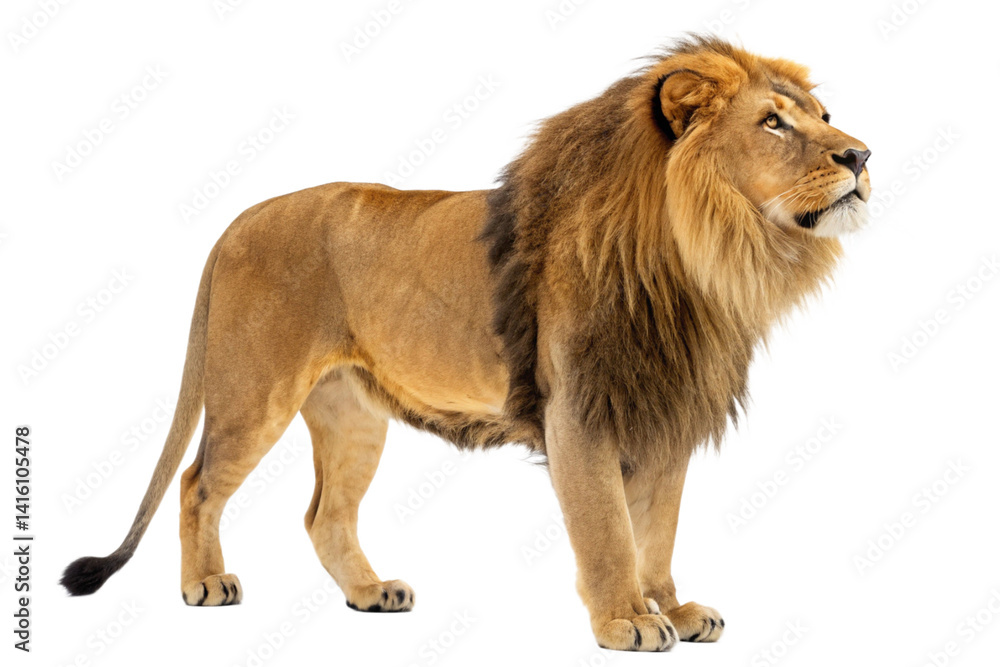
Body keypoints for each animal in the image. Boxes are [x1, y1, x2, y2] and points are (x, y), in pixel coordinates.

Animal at [62, 36, 870, 652]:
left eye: (826, 117)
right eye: (773, 123)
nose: (862, 156)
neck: (704, 259)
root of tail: (237, 220)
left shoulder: (662, 414)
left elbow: (657, 531)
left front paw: (668, 607)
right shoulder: (579, 414)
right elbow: (609, 530)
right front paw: (627, 622)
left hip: (353, 416)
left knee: (324, 515)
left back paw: (370, 592)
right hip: (253, 392)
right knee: (197, 482)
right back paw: (205, 583)